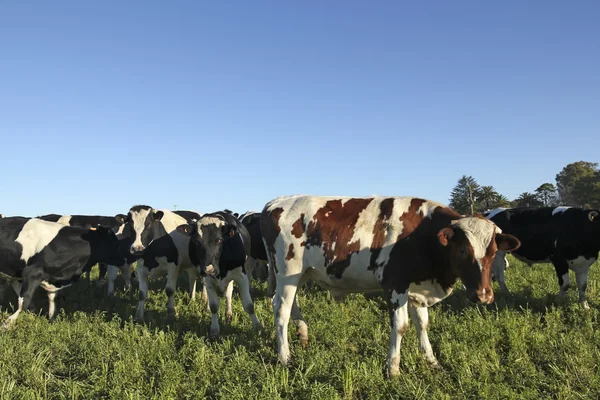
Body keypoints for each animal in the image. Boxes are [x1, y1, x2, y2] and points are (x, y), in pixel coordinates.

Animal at [175, 211, 262, 340]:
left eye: (220, 240)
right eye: (196, 242)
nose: (209, 269)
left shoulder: (241, 276)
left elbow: (249, 305)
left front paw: (258, 327)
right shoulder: (208, 279)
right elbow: (214, 305)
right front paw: (214, 330)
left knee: (228, 293)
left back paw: (228, 313)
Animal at [262, 196, 520, 378]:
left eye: (493, 252)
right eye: (463, 250)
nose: (484, 296)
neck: (422, 236)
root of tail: (277, 202)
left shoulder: (418, 289)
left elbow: (423, 324)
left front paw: (431, 360)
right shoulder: (395, 285)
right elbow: (401, 327)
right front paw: (393, 369)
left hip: (298, 275)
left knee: (292, 304)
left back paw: (303, 336)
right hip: (287, 271)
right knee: (281, 310)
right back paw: (285, 357)